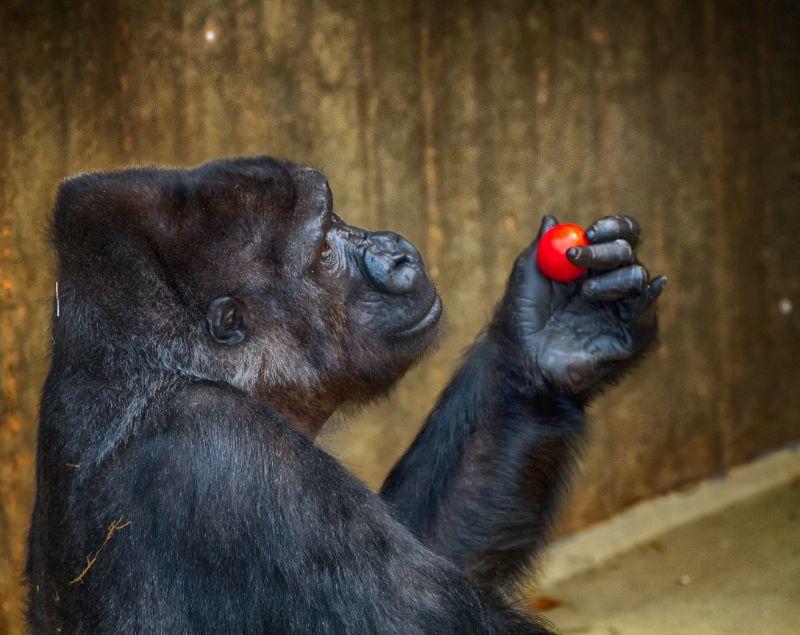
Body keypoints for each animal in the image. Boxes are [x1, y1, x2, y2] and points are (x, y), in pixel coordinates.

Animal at [25, 157, 664, 632]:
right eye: (324, 246)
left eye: (339, 215)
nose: (396, 249)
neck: (170, 368)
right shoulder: (228, 458)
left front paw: (547, 336)